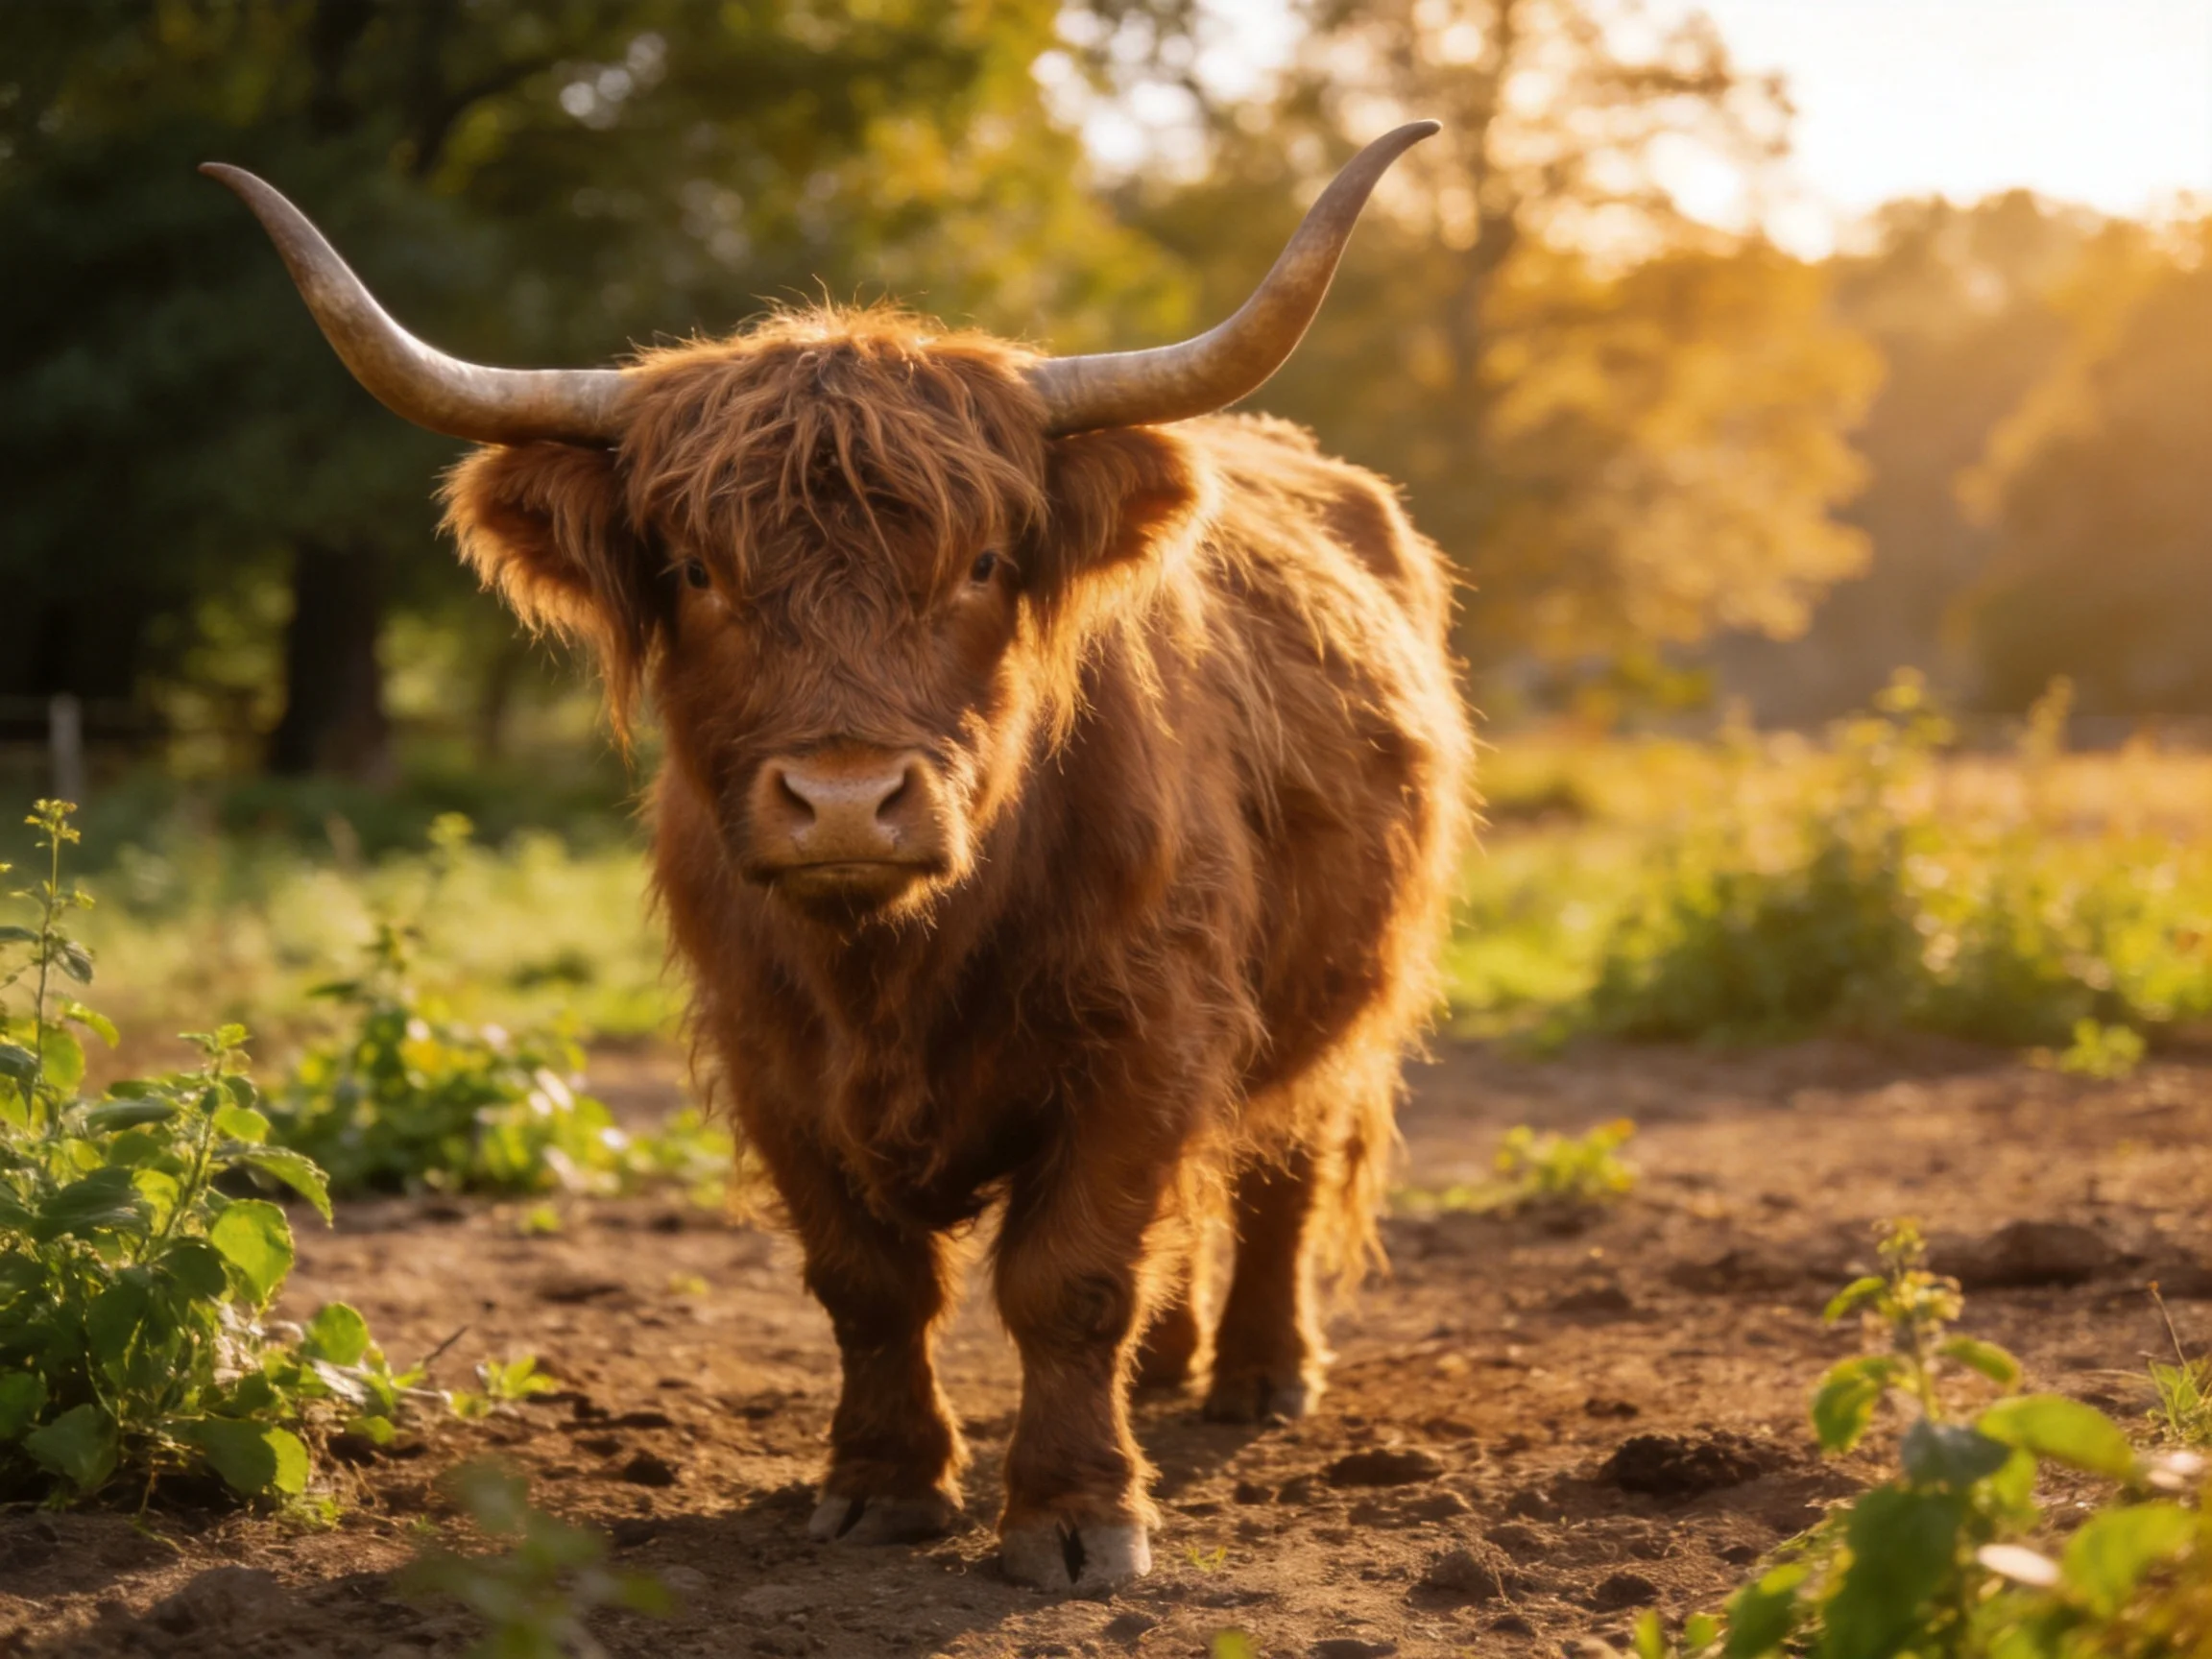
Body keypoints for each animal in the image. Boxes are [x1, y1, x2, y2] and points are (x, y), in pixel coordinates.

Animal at [207, 123, 1474, 1589]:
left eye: (983, 562)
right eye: (696, 571)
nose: (848, 800)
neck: (896, 967)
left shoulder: (1149, 1032)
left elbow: (1072, 1275)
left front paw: (1076, 1517)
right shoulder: (770, 1055)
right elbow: (869, 1282)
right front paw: (882, 1485)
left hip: (1342, 998)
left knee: (1283, 1168)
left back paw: (1262, 1376)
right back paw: (1167, 1372)